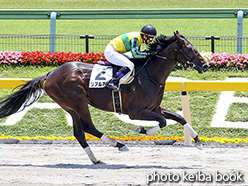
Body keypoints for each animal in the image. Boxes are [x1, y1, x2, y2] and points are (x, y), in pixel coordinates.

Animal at [0, 32, 209, 164]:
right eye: (189, 48)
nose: (205, 65)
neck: (150, 75)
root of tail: (50, 74)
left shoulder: (155, 108)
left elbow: (179, 117)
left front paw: (198, 142)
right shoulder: (136, 112)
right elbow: (163, 122)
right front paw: (142, 130)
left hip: (70, 106)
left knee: (80, 132)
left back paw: (95, 159)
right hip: (77, 101)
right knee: (88, 127)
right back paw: (119, 144)